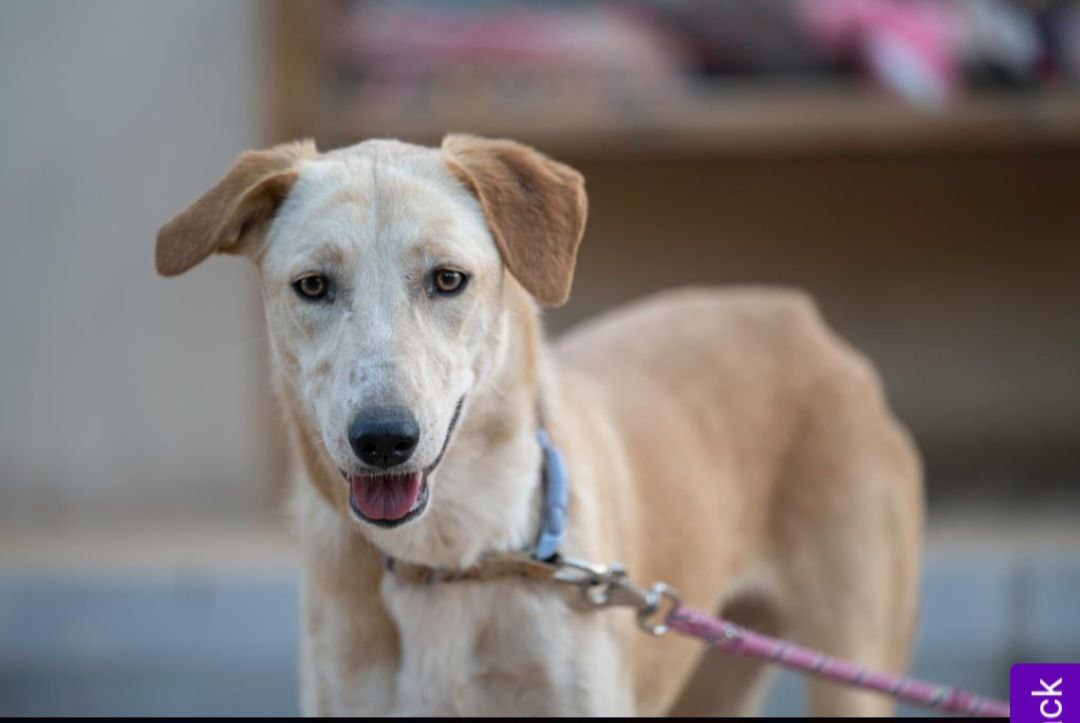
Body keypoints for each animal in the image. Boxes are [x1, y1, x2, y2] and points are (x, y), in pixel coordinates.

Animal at [156, 135, 924, 717]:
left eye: (448, 279)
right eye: (312, 285)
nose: (382, 440)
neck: (453, 563)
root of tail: (796, 314)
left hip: (851, 670)